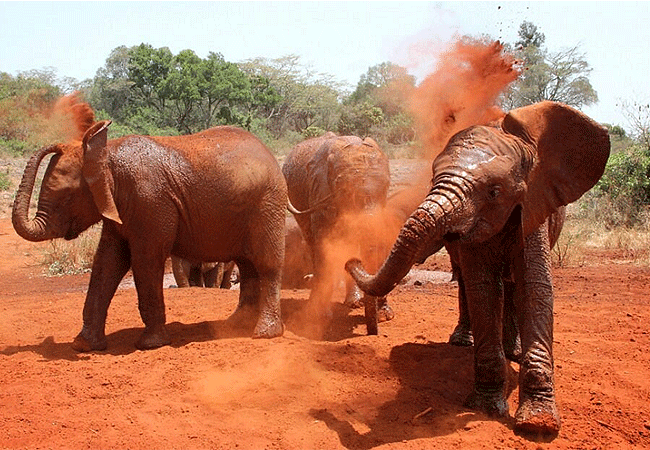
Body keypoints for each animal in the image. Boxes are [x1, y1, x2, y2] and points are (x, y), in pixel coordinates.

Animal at [12, 96, 286, 354]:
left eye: (67, 196)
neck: (106, 153)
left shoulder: (149, 200)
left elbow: (145, 259)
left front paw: (150, 344)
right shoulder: (120, 207)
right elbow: (108, 262)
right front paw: (83, 345)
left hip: (268, 203)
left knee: (266, 264)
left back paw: (264, 333)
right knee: (247, 265)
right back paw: (236, 325)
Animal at [344, 103, 608, 436]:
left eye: (494, 191)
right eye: (433, 179)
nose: (351, 261)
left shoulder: (534, 205)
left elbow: (534, 286)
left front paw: (539, 424)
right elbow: (482, 288)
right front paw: (485, 407)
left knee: (511, 284)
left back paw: (513, 353)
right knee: (469, 282)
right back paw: (464, 342)